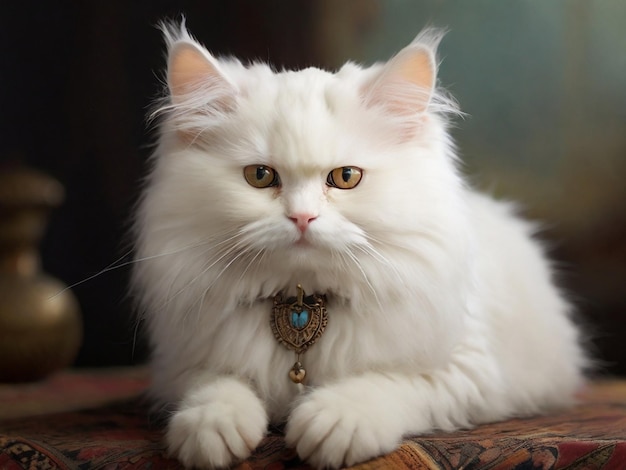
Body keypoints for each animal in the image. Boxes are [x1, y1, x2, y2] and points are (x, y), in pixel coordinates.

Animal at [132, 22, 584, 470]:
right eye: (260, 176)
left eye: (346, 177)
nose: (302, 217)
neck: (300, 301)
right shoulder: (182, 364)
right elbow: (215, 386)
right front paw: (212, 430)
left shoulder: (465, 369)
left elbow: (383, 383)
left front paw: (332, 423)